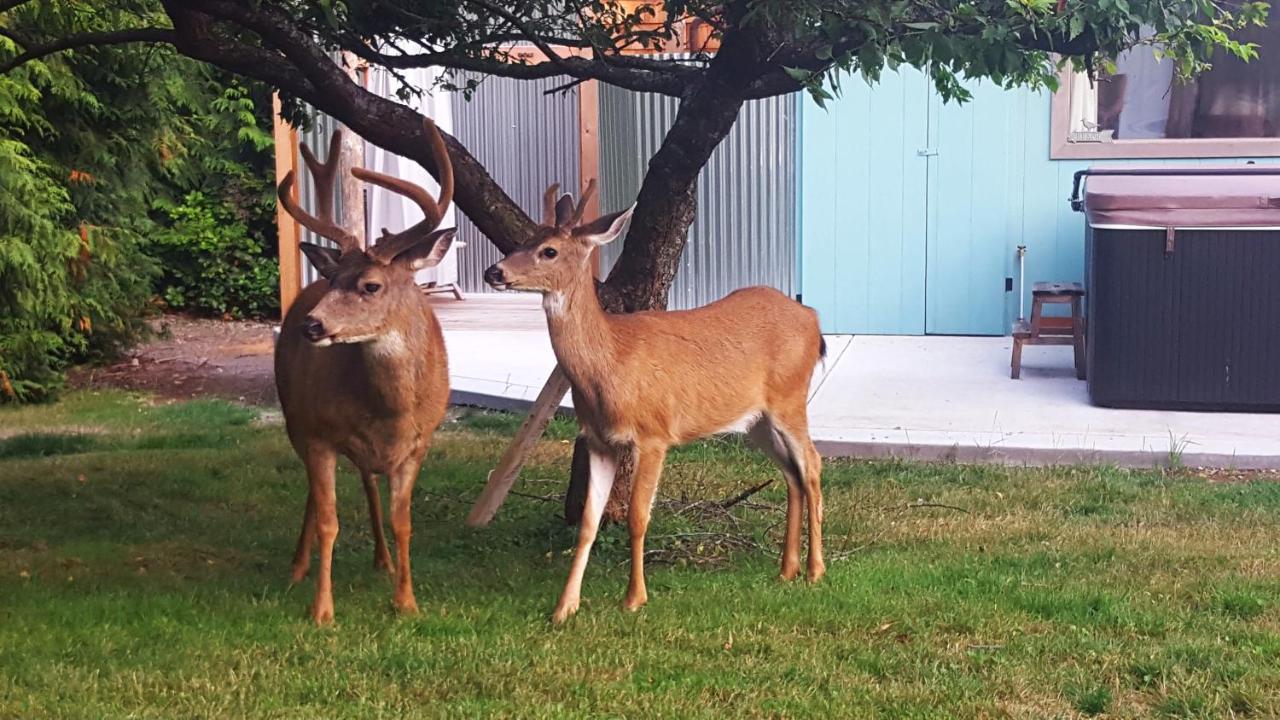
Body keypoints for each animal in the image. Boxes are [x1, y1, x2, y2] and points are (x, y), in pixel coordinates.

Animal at [275, 117, 455, 622]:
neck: (392, 409)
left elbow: (403, 522)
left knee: (368, 481)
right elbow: (329, 520)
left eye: (371, 285)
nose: (312, 324)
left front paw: (407, 600)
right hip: (295, 416)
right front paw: (322, 611)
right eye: (334, 280)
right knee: (314, 494)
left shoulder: (419, 443)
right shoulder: (318, 434)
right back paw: (297, 567)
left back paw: (383, 560)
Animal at [483, 183, 824, 622]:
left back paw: (815, 570)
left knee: (812, 464)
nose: (494, 272)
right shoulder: (598, 439)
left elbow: (637, 516)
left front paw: (634, 598)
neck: (612, 364)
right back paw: (786, 570)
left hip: (790, 397)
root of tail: (812, 318)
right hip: (756, 420)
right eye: (522, 241)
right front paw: (564, 607)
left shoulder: (654, 434)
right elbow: (589, 522)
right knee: (792, 473)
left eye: (549, 250)